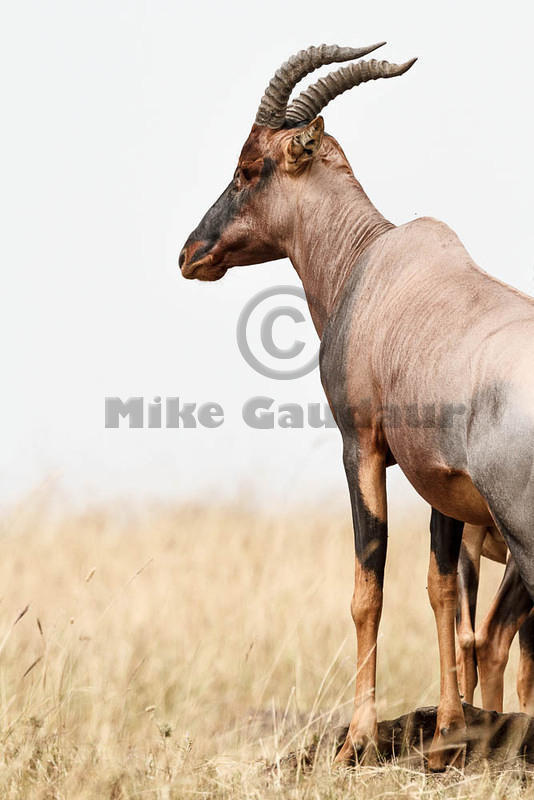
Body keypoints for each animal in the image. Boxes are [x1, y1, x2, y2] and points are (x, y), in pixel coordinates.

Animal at [181, 42, 534, 768]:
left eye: (248, 168)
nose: (190, 253)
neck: (372, 264)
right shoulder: (437, 480)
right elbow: (440, 590)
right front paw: (449, 733)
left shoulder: (362, 447)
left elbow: (366, 591)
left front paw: (358, 741)